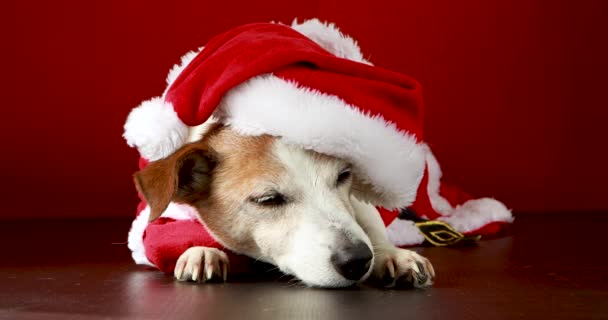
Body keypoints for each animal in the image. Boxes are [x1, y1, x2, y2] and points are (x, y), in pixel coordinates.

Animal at [135, 122, 434, 288]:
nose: (358, 260)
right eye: (268, 200)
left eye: (343, 175)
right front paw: (201, 252)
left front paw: (391, 255)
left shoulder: (356, 200)